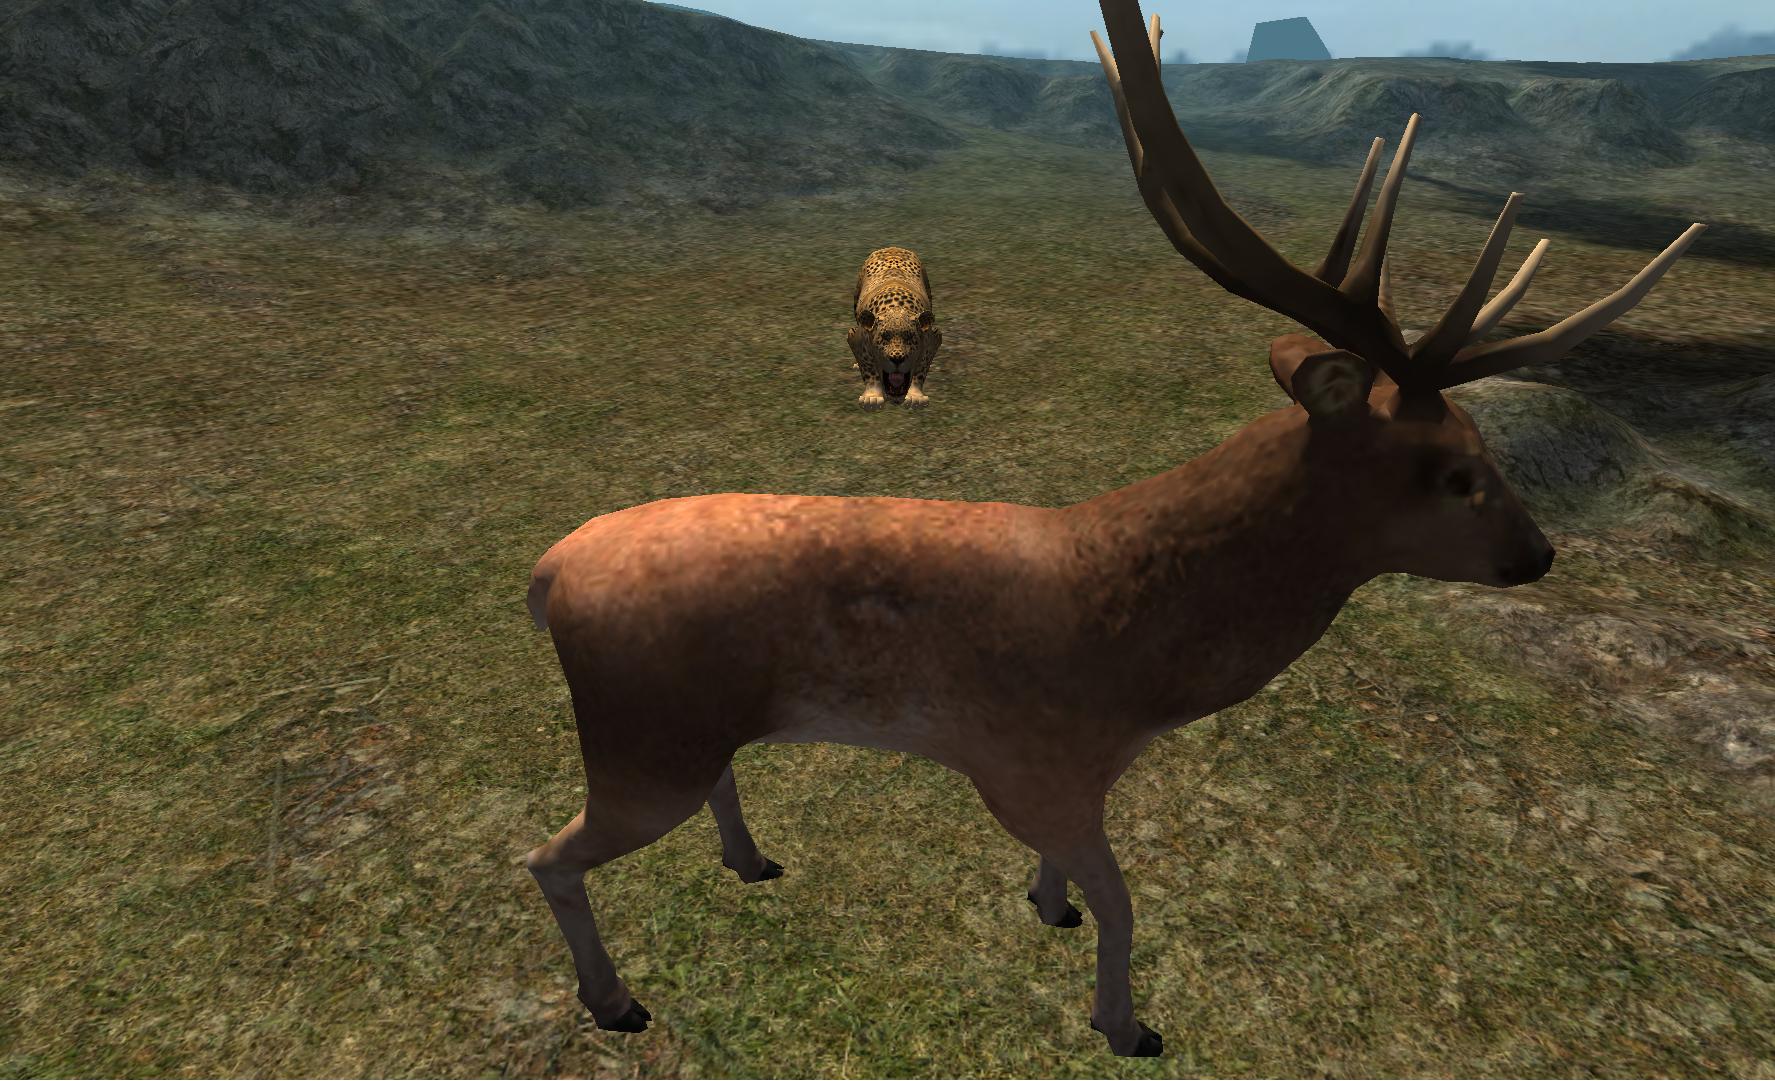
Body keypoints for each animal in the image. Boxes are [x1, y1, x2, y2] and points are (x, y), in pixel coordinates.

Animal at [847, 246, 942, 409]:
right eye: (884, 337)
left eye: (910, 338)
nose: (897, 359)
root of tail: (893, 248)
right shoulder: (856, 336)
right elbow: (868, 365)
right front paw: (872, 397)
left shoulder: (933, 336)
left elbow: (921, 365)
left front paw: (915, 396)